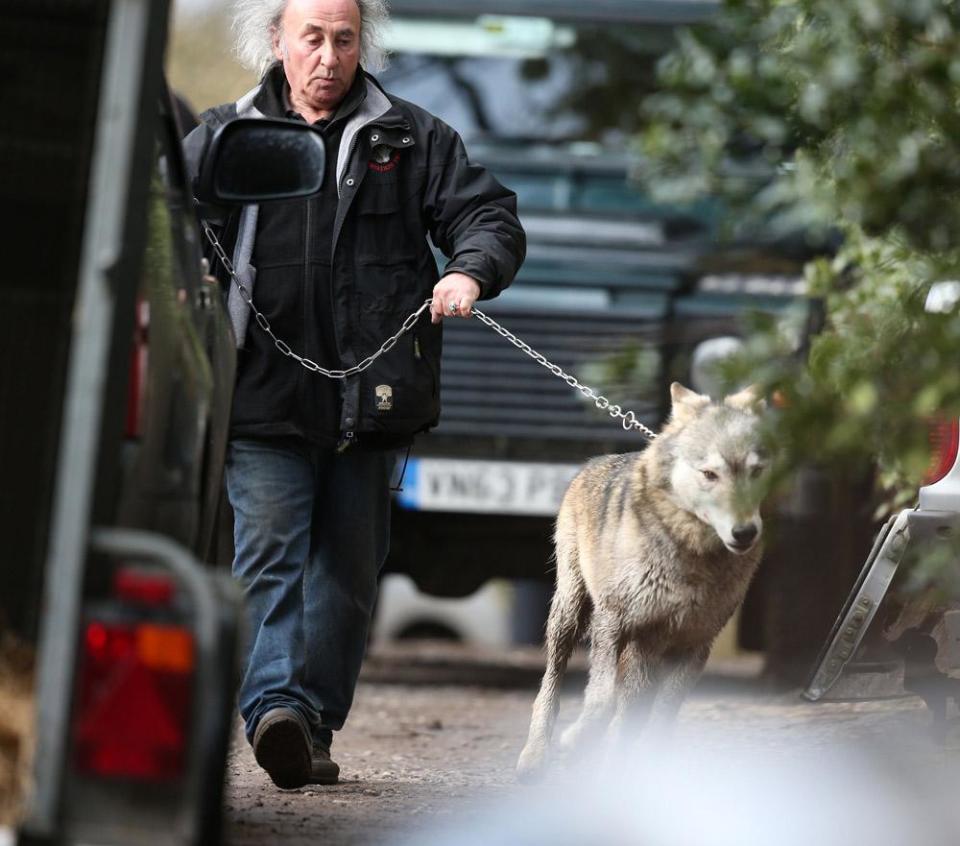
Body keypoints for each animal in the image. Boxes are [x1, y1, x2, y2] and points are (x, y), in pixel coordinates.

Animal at [512, 384, 768, 780]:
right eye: (710, 474)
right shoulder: (611, 624)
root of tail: (597, 460)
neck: (691, 559)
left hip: (644, 652)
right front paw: (573, 742)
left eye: (755, 472)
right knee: (551, 687)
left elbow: (660, 717)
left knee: (630, 711)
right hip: (570, 615)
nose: (745, 533)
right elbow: (601, 701)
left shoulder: (695, 646)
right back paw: (536, 755)